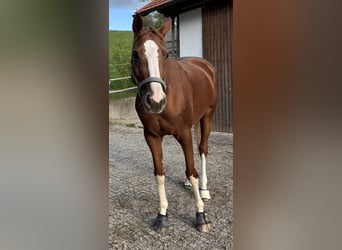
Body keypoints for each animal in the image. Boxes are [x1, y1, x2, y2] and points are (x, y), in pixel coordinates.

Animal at [131, 14, 216, 232]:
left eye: (166, 54)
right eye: (135, 54)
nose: (155, 101)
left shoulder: (184, 132)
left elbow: (192, 171)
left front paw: (201, 215)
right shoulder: (151, 136)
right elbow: (159, 173)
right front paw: (162, 215)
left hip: (207, 117)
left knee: (202, 150)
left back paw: (204, 189)